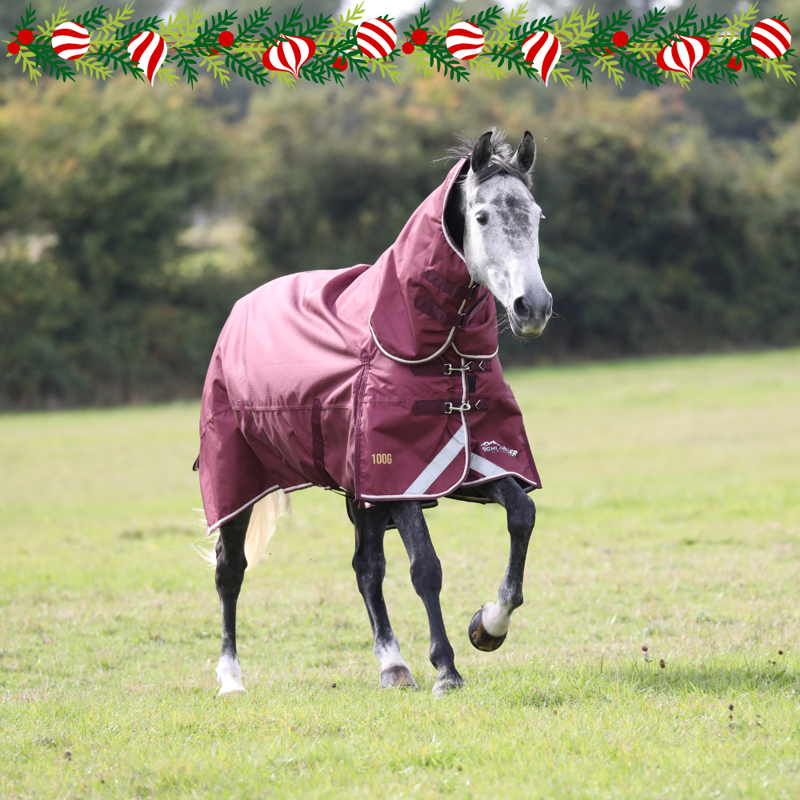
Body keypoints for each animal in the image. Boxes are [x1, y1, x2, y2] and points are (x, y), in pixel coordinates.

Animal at [196, 129, 552, 696]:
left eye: (536, 215)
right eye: (481, 217)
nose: (532, 308)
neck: (437, 355)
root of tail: (237, 313)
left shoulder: (471, 463)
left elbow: (521, 515)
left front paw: (488, 625)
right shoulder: (401, 473)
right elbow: (426, 567)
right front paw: (447, 669)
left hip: (360, 492)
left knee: (367, 567)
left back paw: (393, 664)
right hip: (237, 479)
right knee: (230, 571)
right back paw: (230, 678)